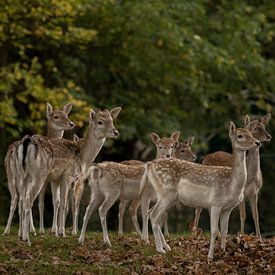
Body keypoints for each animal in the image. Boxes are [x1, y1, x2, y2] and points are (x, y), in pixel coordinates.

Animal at [2, 102, 74, 236]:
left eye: (66, 115)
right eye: (56, 116)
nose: (71, 123)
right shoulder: (46, 179)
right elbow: (42, 203)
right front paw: (42, 229)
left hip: (12, 175)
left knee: (17, 198)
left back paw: (10, 231)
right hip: (31, 176)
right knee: (25, 199)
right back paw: (26, 231)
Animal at [17, 106, 121, 245]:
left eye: (111, 120)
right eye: (100, 122)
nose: (115, 132)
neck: (82, 157)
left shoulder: (65, 179)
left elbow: (65, 203)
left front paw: (60, 232)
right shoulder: (67, 175)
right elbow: (64, 203)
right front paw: (62, 233)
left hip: (23, 175)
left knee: (22, 198)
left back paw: (22, 235)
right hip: (39, 174)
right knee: (29, 199)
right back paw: (27, 238)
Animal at [140, 122, 260, 262]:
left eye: (251, 134)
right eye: (240, 135)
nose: (257, 142)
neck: (231, 184)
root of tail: (149, 164)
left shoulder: (228, 208)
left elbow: (225, 230)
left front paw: (223, 252)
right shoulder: (215, 204)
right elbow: (214, 231)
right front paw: (210, 257)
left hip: (169, 196)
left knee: (152, 213)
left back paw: (166, 247)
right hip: (166, 192)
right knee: (154, 214)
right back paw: (160, 249)